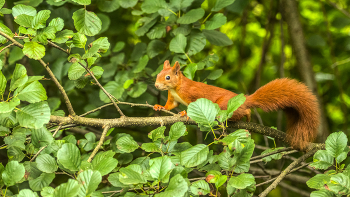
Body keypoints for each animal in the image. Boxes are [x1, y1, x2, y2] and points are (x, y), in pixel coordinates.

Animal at [153, 60, 320, 149]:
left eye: (167, 77)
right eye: (158, 74)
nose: (156, 85)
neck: (175, 88)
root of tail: (245, 99)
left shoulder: (192, 94)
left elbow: (194, 106)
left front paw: (185, 113)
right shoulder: (173, 99)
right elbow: (170, 106)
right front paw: (160, 107)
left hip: (223, 107)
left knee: (242, 112)